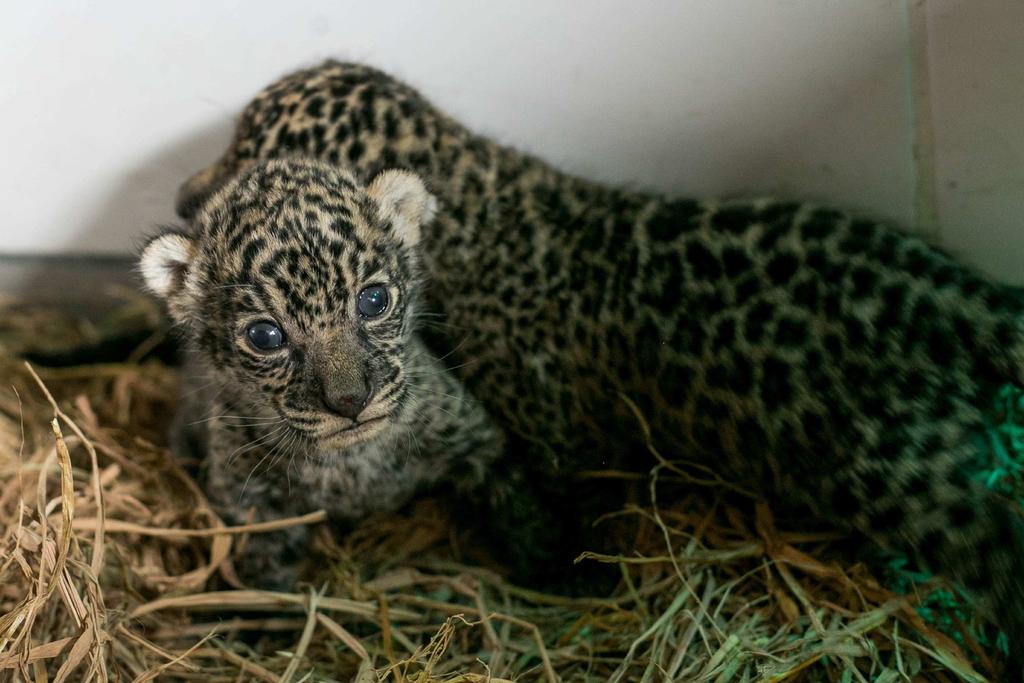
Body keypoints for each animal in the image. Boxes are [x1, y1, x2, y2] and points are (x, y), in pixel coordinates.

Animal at [139, 161, 499, 589]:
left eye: (374, 301)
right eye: (265, 337)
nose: (351, 401)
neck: (351, 463)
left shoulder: (477, 439)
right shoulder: (252, 508)